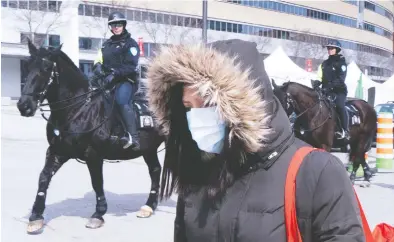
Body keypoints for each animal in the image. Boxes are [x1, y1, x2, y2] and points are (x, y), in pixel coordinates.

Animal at [16, 40, 165, 233]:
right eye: (27, 66)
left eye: (46, 67)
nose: (24, 106)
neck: (77, 108)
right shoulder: (57, 151)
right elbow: (43, 177)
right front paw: (36, 217)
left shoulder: (93, 154)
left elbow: (97, 182)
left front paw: (98, 214)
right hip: (149, 149)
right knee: (155, 170)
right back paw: (148, 206)